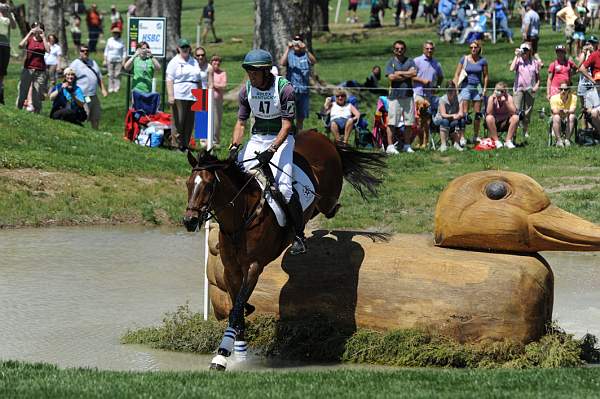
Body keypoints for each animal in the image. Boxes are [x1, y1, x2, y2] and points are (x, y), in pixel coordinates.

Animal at [180, 130, 384, 370]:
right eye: (188, 184)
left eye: (208, 186)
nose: (189, 221)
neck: (241, 218)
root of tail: (319, 135)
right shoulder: (231, 269)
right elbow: (237, 308)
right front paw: (240, 353)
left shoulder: (254, 267)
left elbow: (236, 309)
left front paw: (221, 355)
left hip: (327, 195)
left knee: (329, 207)